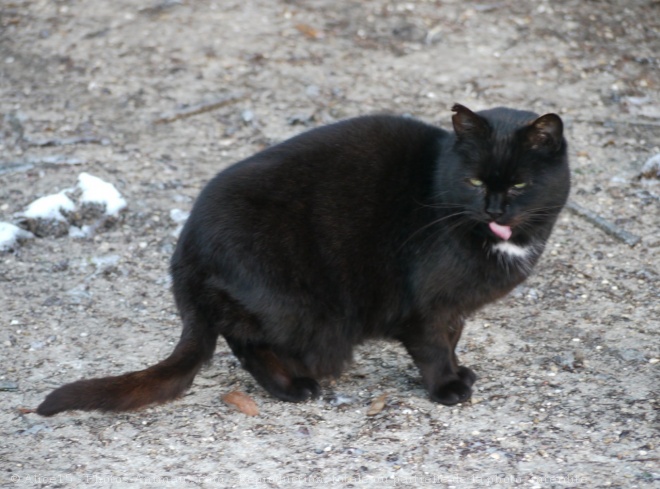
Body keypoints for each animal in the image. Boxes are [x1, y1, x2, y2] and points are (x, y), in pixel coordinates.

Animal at [38, 104, 568, 416]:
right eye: (475, 181)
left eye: (519, 184)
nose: (494, 209)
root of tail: (185, 248)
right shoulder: (426, 304)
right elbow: (434, 346)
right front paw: (446, 388)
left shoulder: (455, 306)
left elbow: (453, 337)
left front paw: (461, 371)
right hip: (302, 307)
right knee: (247, 340)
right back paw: (293, 387)